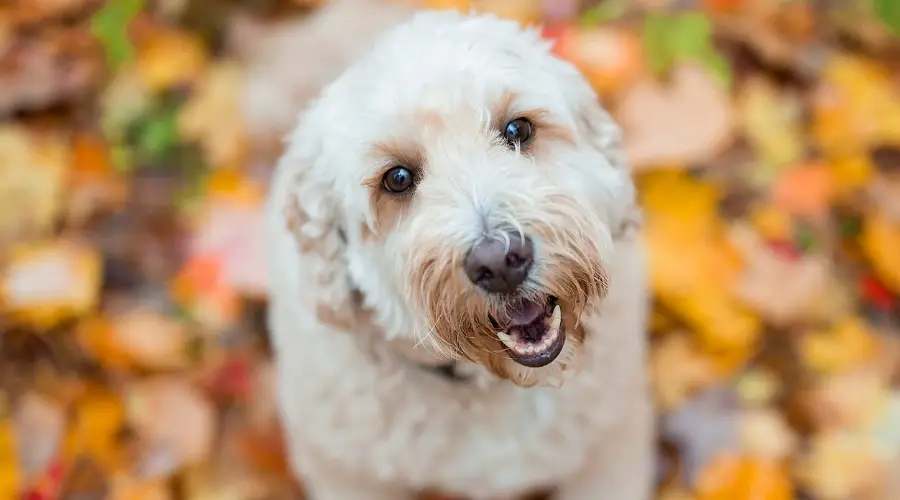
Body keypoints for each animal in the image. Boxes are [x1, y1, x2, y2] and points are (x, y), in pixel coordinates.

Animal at [264, 8, 652, 500]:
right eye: (396, 179)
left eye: (518, 129)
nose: (500, 262)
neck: (491, 387)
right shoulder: (346, 471)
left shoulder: (611, 441)